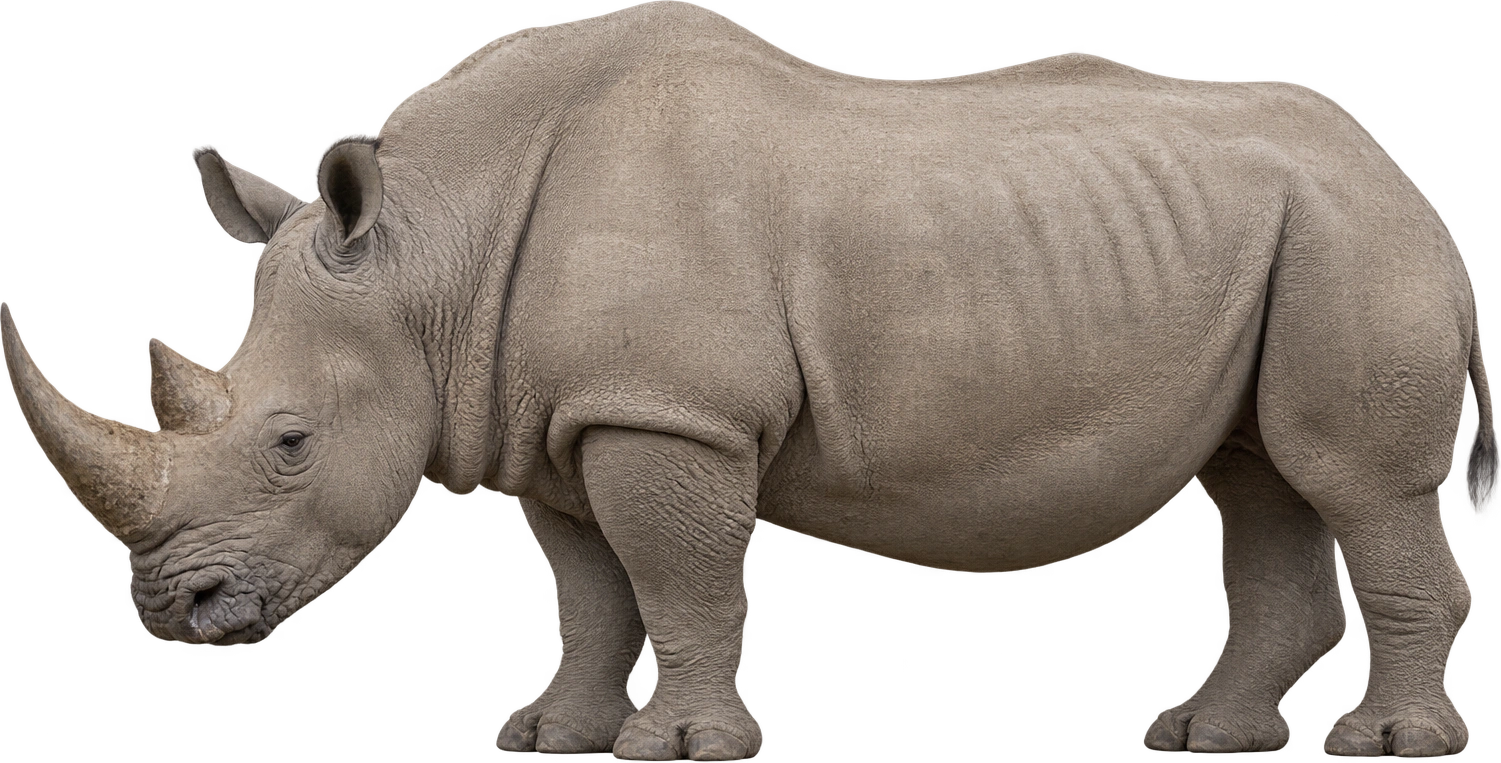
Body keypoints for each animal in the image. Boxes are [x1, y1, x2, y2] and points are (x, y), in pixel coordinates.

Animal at [2, 1, 1493, 759]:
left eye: (291, 442)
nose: (169, 611)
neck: (436, 249)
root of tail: (1401, 168)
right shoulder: (558, 413)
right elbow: (586, 593)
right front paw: (546, 735)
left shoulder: (669, 410)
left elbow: (677, 579)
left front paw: (677, 746)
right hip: (1284, 233)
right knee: (1259, 475)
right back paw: (1199, 733)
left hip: (1352, 230)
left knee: (1349, 479)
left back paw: (1388, 741)